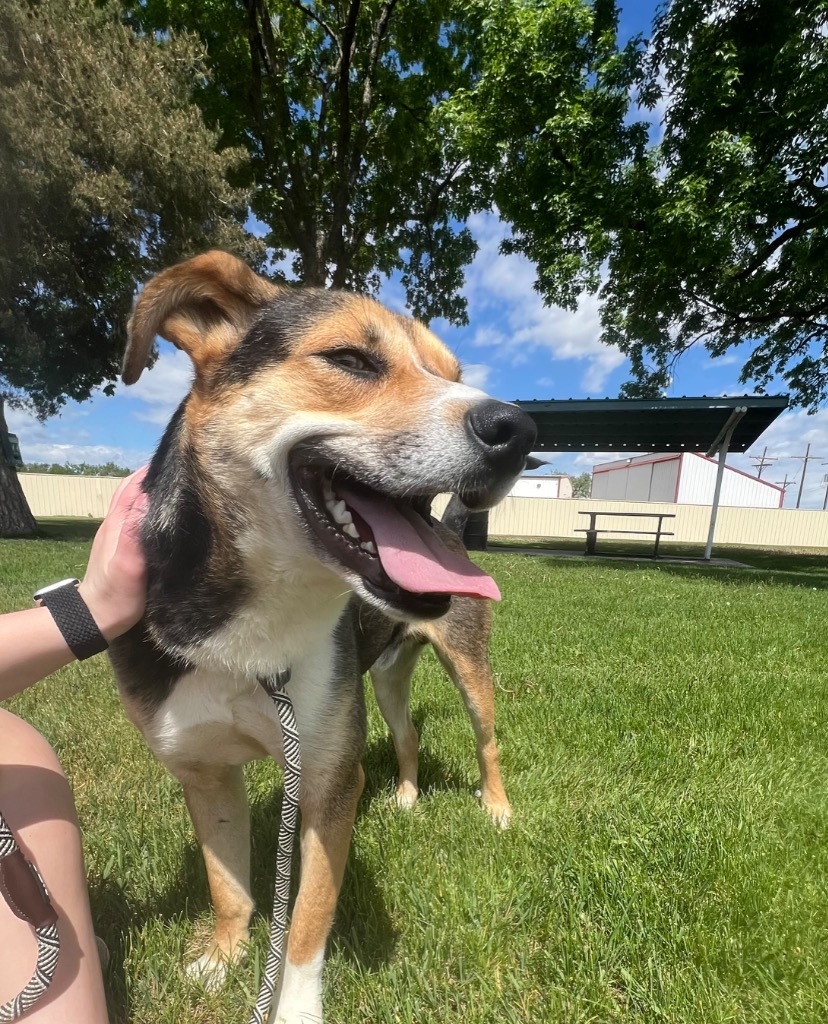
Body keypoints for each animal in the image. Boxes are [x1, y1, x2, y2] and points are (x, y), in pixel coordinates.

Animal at [107, 249, 536, 1024]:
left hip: (467, 666)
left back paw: (496, 811)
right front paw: (220, 958)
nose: (520, 430)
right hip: (387, 676)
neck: (251, 629)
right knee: (406, 733)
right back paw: (405, 798)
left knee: (487, 742)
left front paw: (294, 1006)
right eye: (349, 359)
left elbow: (307, 917)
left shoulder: (329, 778)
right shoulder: (203, 768)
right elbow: (227, 883)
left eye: (451, 373)